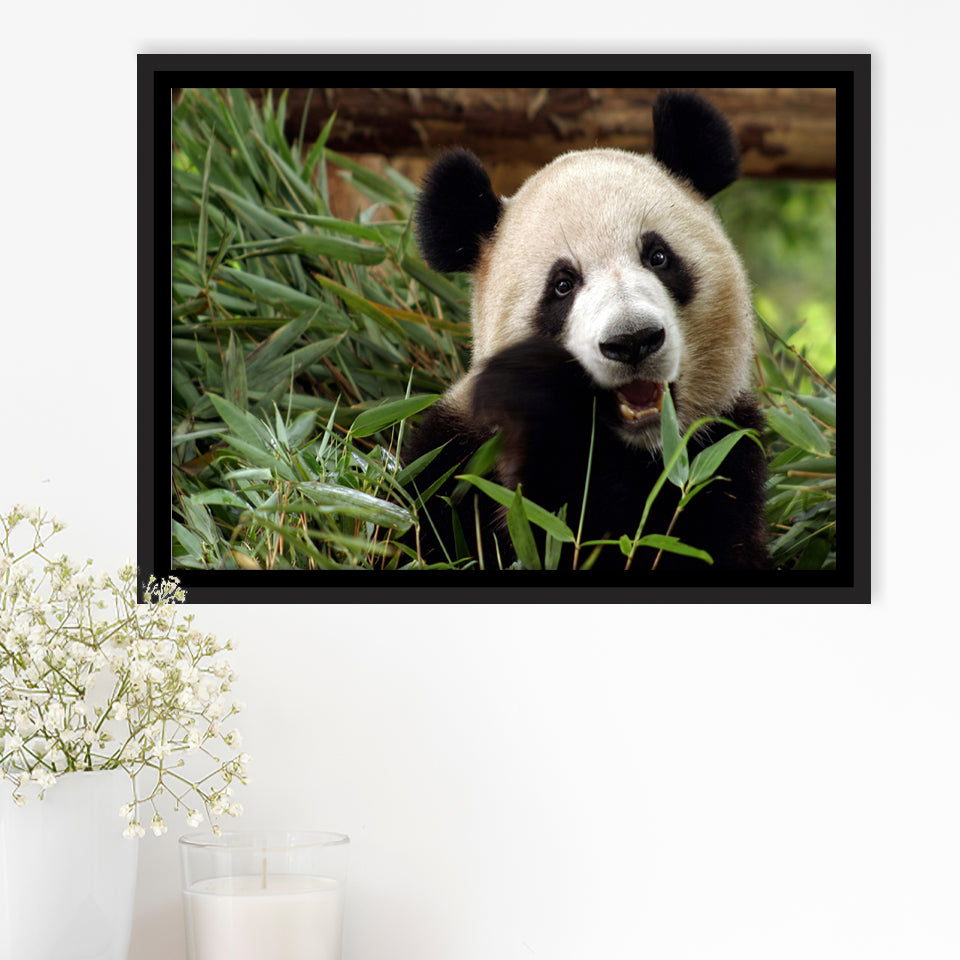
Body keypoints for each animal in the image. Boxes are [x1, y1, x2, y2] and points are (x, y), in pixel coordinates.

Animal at [403, 90, 769, 571]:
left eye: (658, 257)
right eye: (562, 285)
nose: (632, 341)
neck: (638, 451)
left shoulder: (723, 456)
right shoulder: (455, 462)